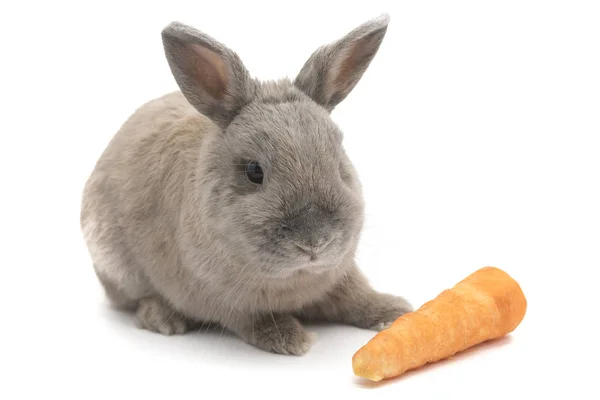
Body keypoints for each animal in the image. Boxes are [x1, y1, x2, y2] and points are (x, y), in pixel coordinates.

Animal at [79, 14, 412, 354]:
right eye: (254, 171)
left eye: (338, 158)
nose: (315, 243)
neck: (295, 277)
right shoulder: (224, 299)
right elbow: (252, 319)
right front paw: (292, 339)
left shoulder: (341, 276)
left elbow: (356, 295)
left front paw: (394, 310)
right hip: (117, 267)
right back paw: (164, 318)